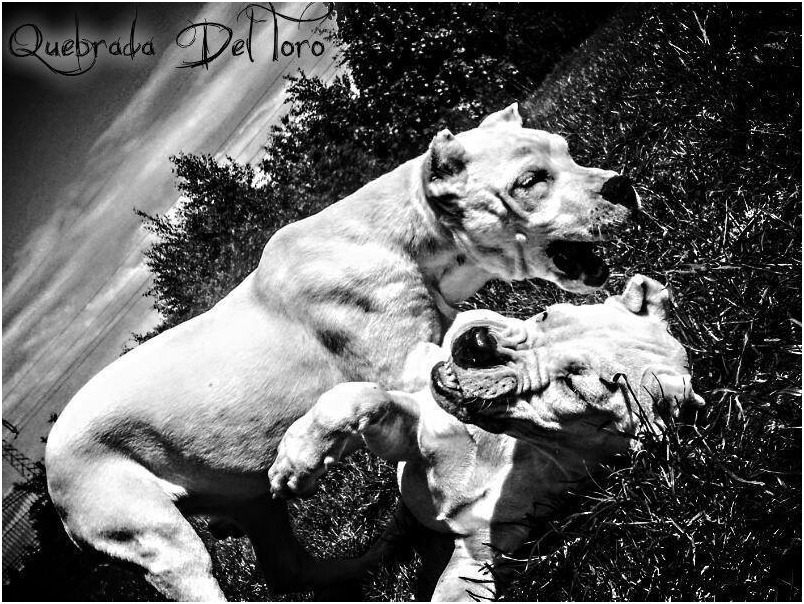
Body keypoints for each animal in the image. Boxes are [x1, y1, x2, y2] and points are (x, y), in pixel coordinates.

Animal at [45, 104, 638, 600]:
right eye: (531, 181)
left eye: (568, 151)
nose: (622, 184)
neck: (406, 237)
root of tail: (50, 465)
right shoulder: (410, 368)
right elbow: (374, 388)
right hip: (160, 541)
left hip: (253, 506)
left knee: (290, 569)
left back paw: (370, 558)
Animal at [269, 275, 705, 601]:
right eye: (546, 314)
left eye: (574, 388)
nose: (479, 344)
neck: (508, 452)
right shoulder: (412, 431)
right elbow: (357, 396)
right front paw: (297, 460)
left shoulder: (478, 559)